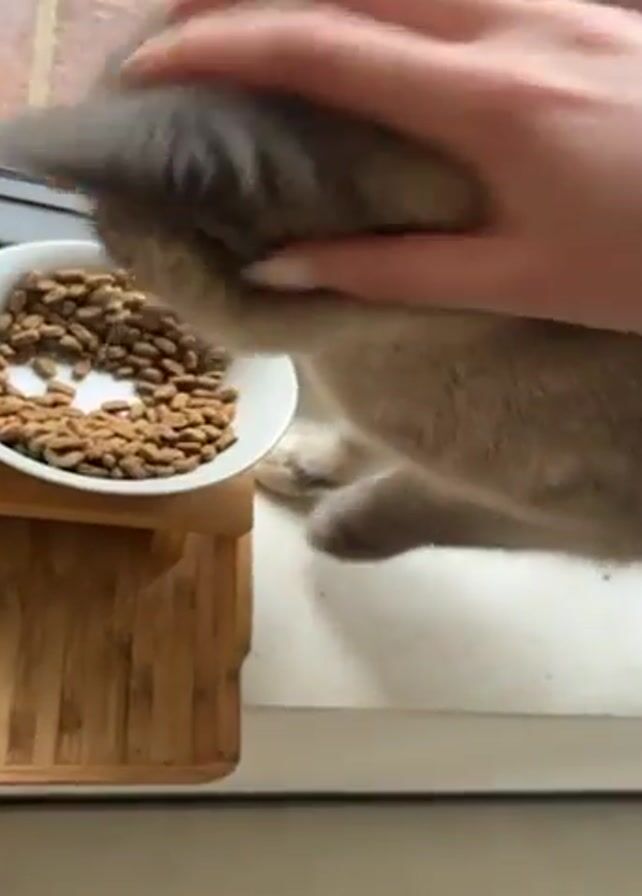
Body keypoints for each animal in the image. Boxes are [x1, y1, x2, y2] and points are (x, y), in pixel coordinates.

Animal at [1, 1, 642, 562]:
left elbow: (426, 500)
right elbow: (362, 448)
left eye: (115, 239)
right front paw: (307, 469)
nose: (130, 282)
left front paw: (334, 527)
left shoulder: (591, 514)